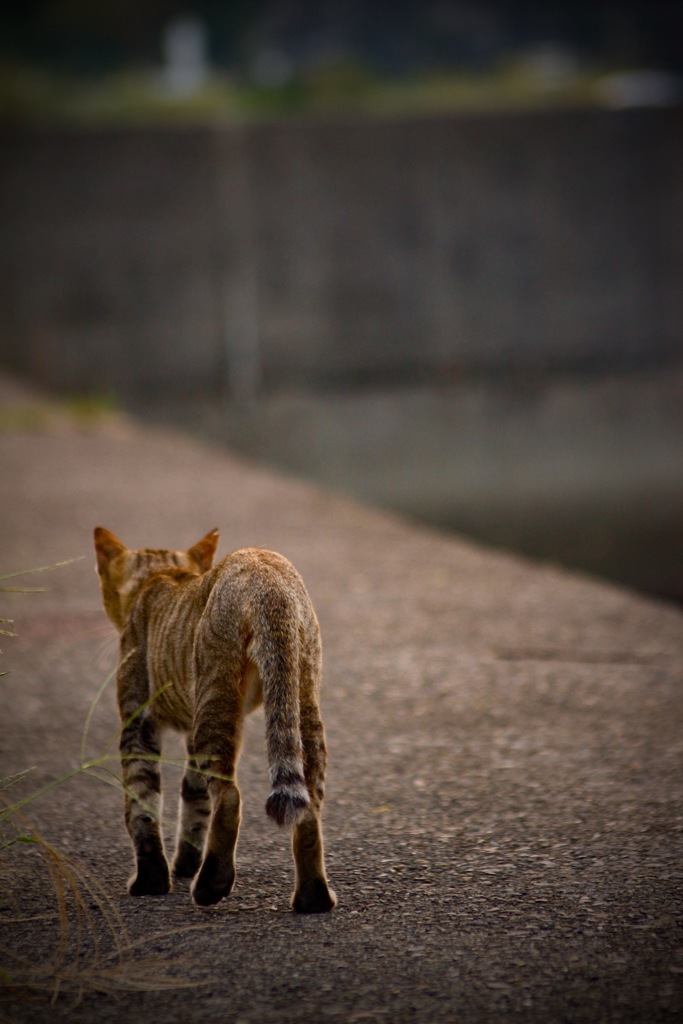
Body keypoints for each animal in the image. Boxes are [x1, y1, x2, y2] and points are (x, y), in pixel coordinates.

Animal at [92, 528, 337, 913]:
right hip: (301, 696)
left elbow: (141, 800)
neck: (159, 576)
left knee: (229, 795)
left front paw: (151, 882)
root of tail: (266, 573)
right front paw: (185, 863)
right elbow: (193, 797)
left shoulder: (137, 719)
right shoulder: (190, 732)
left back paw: (211, 885)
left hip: (214, 688)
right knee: (308, 805)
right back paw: (312, 898)